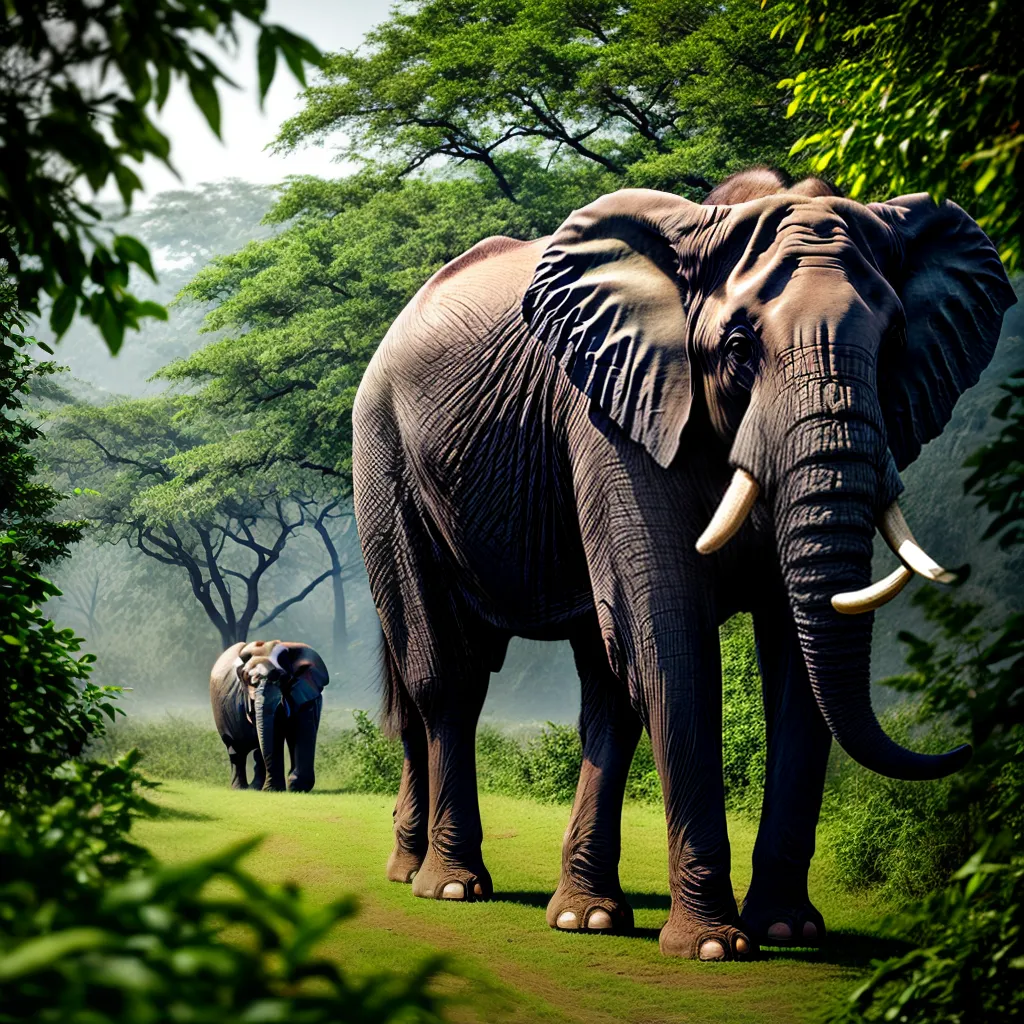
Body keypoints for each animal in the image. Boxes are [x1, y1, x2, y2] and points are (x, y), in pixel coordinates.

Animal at [209, 639, 328, 792]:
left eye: (283, 678)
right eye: (248, 679)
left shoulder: (305, 692)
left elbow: (299, 729)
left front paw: (295, 787)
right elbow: (274, 733)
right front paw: (276, 790)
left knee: (255, 752)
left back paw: (255, 788)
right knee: (236, 752)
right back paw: (242, 789)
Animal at [351, 166, 1016, 960]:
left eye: (892, 346)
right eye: (739, 347)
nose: (965, 747)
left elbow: (790, 656)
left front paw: (787, 930)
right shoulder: (612, 416)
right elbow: (672, 641)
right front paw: (713, 948)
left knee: (603, 692)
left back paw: (584, 916)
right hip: (383, 458)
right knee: (446, 675)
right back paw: (448, 886)